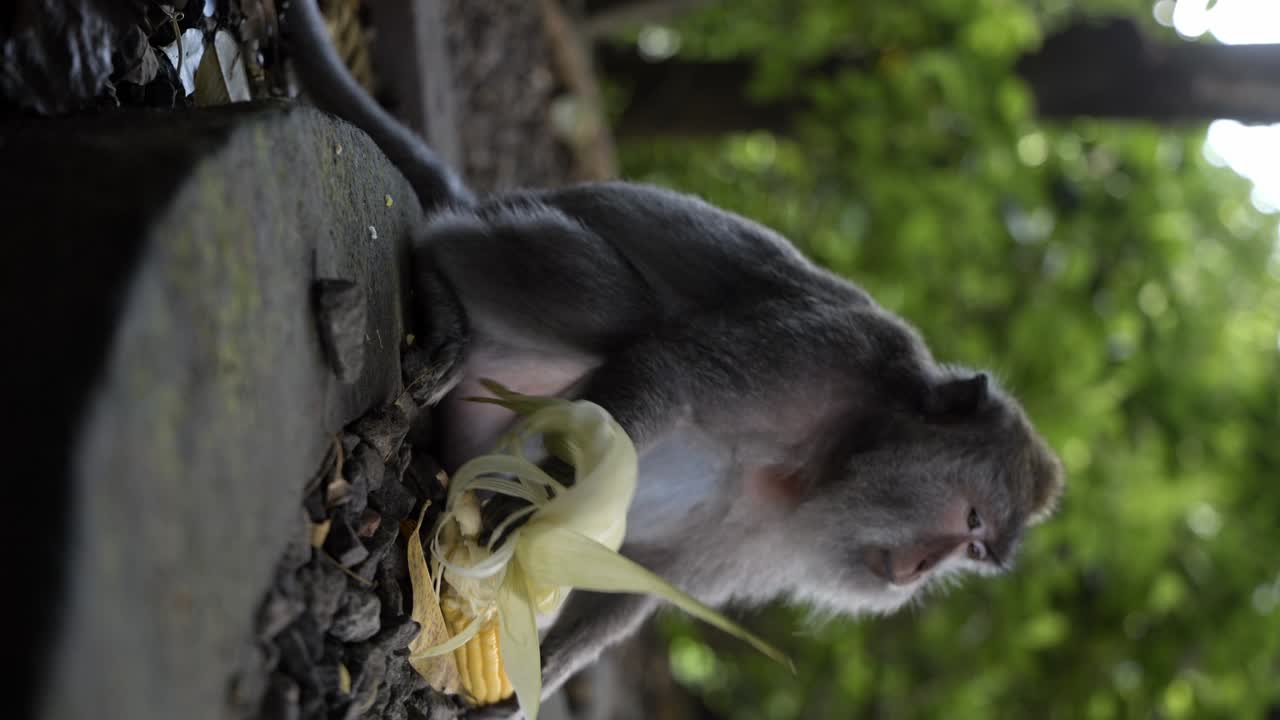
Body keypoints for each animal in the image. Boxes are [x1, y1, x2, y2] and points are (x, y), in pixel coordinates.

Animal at [283, 1, 1065, 716]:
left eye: (973, 552)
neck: (838, 458)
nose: (918, 571)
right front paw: (528, 505)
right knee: (612, 306)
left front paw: (529, 682)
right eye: (972, 524)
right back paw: (440, 265)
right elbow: (674, 373)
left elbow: (651, 570)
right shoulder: (824, 355)